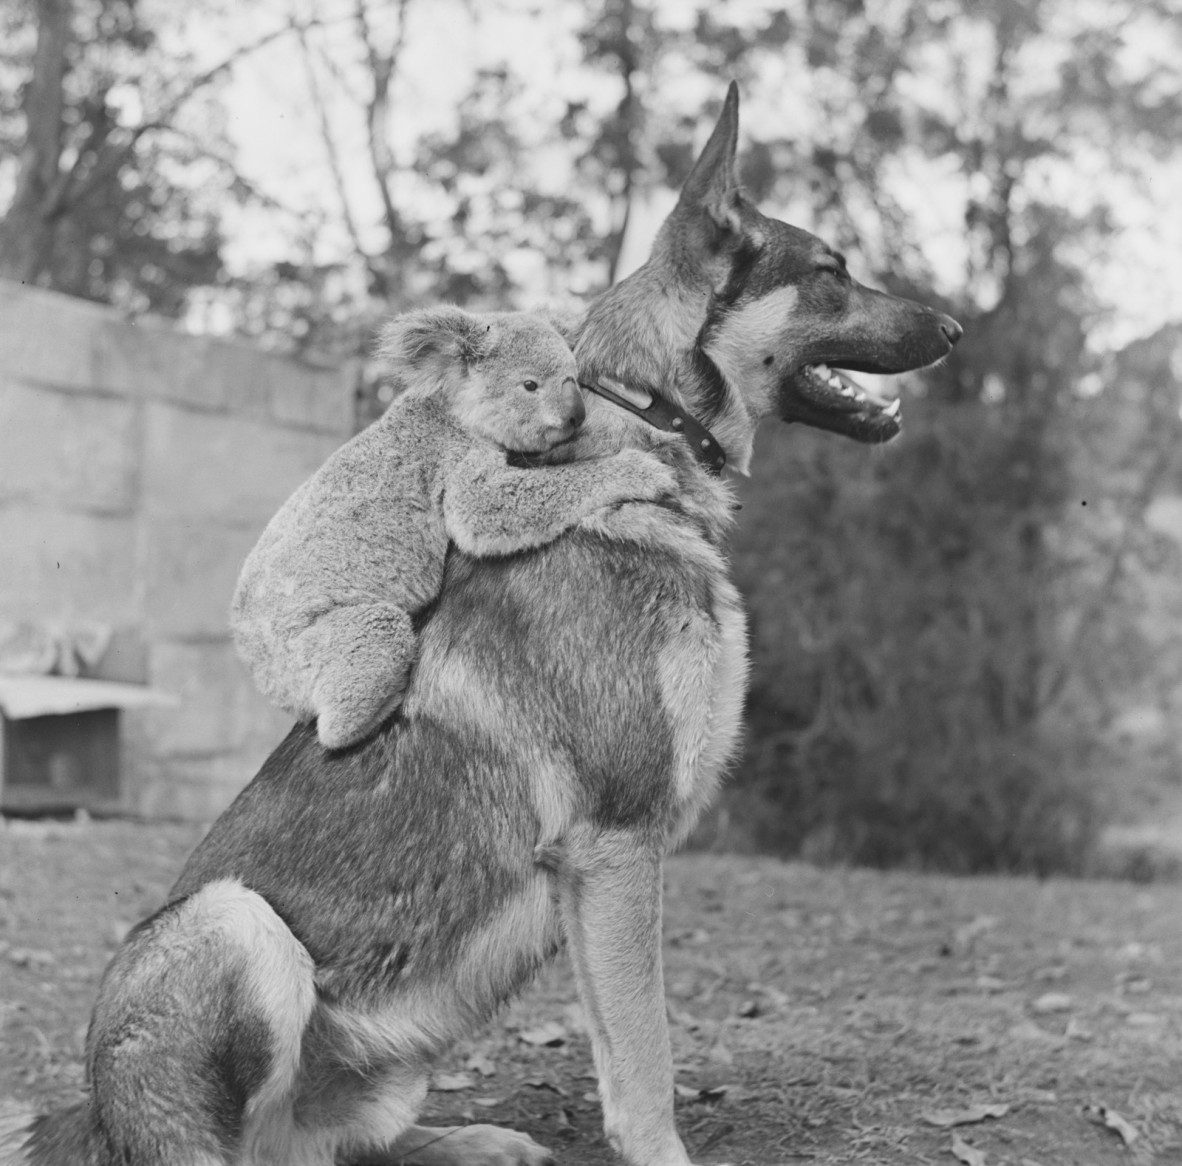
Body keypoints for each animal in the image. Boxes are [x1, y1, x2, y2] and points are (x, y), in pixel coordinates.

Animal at [9, 86, 959, 1163]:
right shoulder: (617, 847)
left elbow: (624, 1050)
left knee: (327, 1146)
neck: (647, 418)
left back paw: (473, 1139)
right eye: (832, 272)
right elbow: (646, 1061)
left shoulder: (602, 872)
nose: (957, 327)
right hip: (236, 922)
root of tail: (87, 1113)